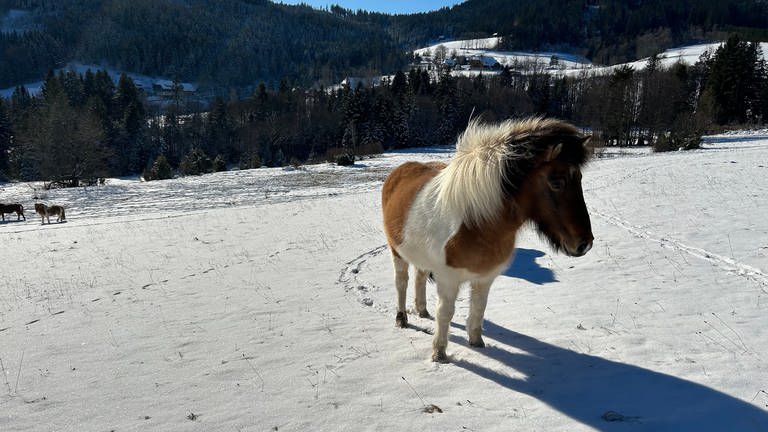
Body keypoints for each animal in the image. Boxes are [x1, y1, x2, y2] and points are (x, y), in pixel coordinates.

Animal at [382, 116, 592, 362]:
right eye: (557, 182)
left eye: (579, 178)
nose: (584, 244)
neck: (476, 222)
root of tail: (400, 170)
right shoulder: (448, 279)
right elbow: (445, 313)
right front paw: (439, 353)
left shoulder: (484, 278)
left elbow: (479, 308)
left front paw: (477, 343)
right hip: (396, 252)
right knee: (402, 282)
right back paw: (402, 318)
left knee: (420, 277)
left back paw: (422, 311)